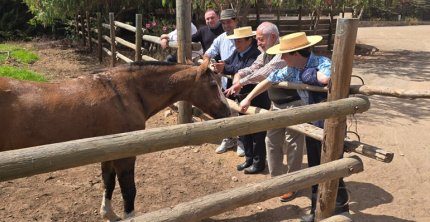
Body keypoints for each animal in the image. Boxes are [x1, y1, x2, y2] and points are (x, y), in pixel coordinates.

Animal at [0, 58, 232, 221]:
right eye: (213, 85)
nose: (227, 112)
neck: (126, 92)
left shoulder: (108, 151)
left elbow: (108, 183)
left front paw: (108, 214)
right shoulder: (125, 155)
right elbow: (129, 191)